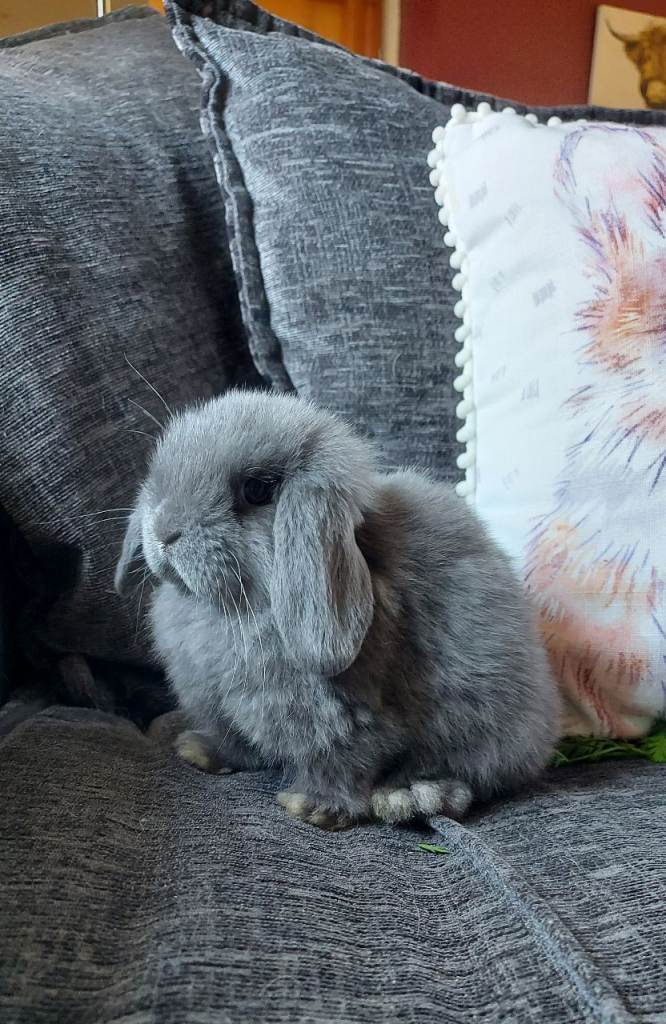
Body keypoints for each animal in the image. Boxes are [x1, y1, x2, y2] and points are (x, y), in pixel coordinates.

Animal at [115, 389, 560, 830]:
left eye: (257, 490)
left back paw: (410, 795)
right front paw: (198, 751)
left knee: (469, 775)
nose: (164, 531)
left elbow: (343, 764)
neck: (229, 611)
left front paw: (312, 808)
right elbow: (232, 740)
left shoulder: (345, 719)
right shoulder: (217, 703)